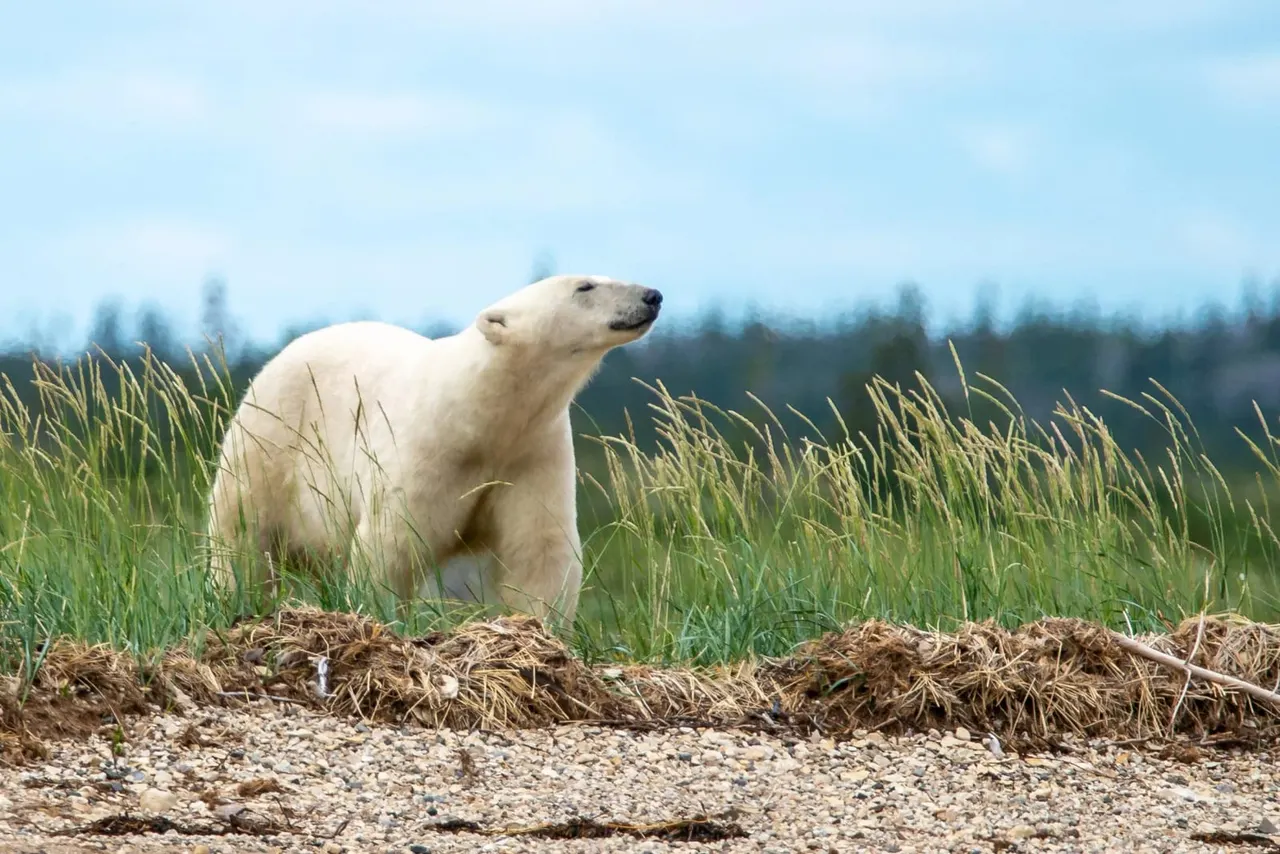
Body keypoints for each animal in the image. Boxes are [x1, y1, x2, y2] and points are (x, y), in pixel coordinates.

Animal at [203, 273, 663, 628]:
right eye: (585, 286)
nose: (652, 295)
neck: (477, 412)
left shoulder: (532, 453)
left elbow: (538, 548)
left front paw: (538, 627)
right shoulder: (425, 450)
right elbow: (392, 541)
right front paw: (379, 614)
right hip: (267, 440)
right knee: (241, 535)